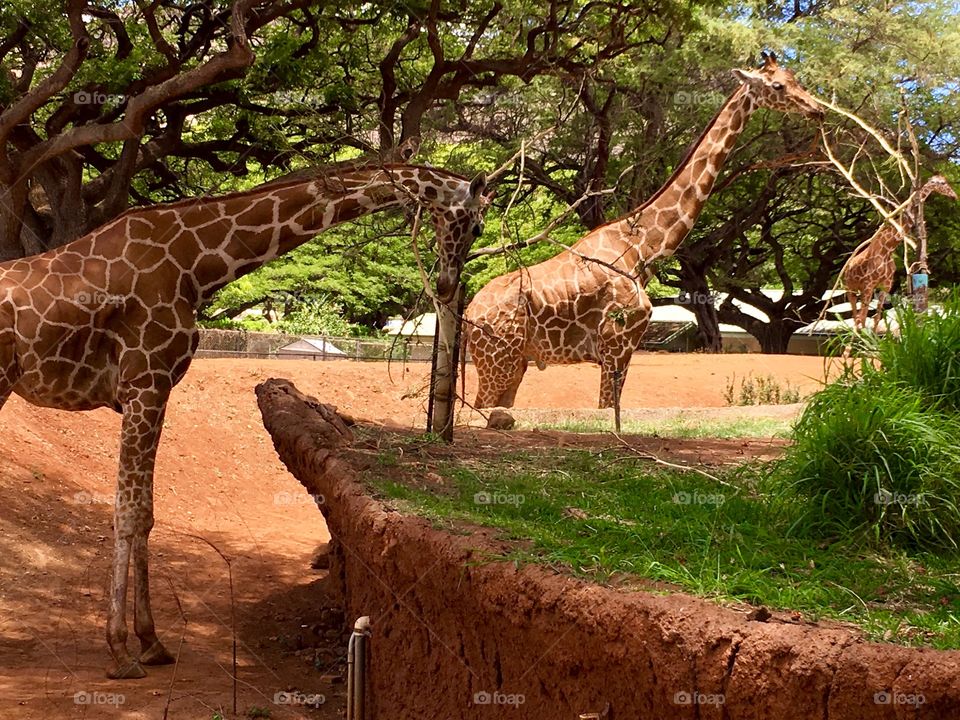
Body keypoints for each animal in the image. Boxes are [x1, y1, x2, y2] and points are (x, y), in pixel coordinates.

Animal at [0, 160, 492, 676]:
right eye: (477, 225)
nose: (447, 286)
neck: (196, 265)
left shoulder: (152, 391)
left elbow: (147, 513)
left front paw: (151, 641)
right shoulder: (145, 383)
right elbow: (130, 514)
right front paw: (120, 650)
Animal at [464, 53, 824, 408]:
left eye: (795, 79)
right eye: (778, 85)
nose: (817, 109)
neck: (643, 248)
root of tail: (469, 315)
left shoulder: (620, 349)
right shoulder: (616, 345)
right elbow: (609, 410)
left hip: (516, 364)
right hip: (498, 363)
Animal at [844, 174, 956, 332]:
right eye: (942, 183)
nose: (954, 196)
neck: (888, 249)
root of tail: (846, 268)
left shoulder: (885, 285)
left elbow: (877, 316)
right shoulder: (869, 284)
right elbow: (864, 317)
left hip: (859, 289)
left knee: (859, 316)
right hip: (850, 288)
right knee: (856, 315)